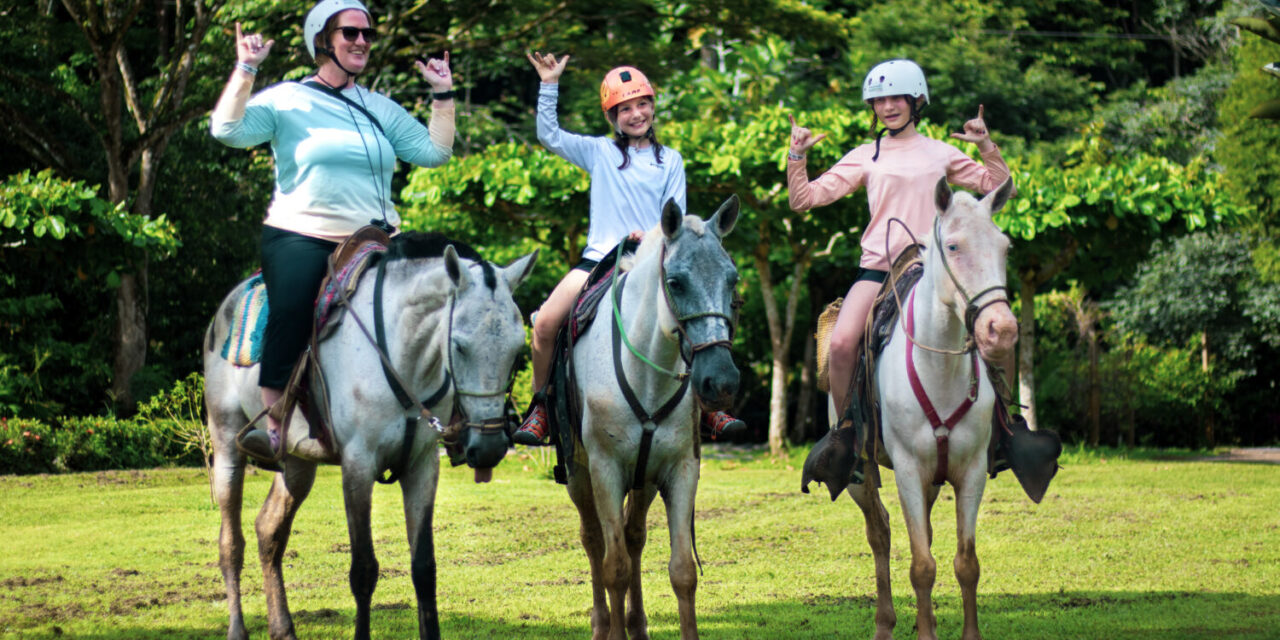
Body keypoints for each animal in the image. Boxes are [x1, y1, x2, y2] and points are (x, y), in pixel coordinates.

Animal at [200, 234, 540, 640]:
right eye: (459, 345)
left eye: (518, 349)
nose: (488, 449)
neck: (401, 358)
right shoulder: (358, 465)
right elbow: (363, 570)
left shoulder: (422, 465)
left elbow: (424, 567)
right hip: (226, 445)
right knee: (230, 543)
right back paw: (237, 628)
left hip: (297, 463)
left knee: (269, 531)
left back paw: (283, 628)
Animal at [563, 195, 742, 640]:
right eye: (675, 282)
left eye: (732, 281)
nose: (722, 381)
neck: (646, 373)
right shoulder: (605, 470)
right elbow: (614, 567)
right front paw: (613, 632)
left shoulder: (680, 469)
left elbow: (682, 572)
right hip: (578, 474)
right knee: (594, 540)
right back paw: (602, 624)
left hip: (643, 479)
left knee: (634, 537)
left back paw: (637, 623)